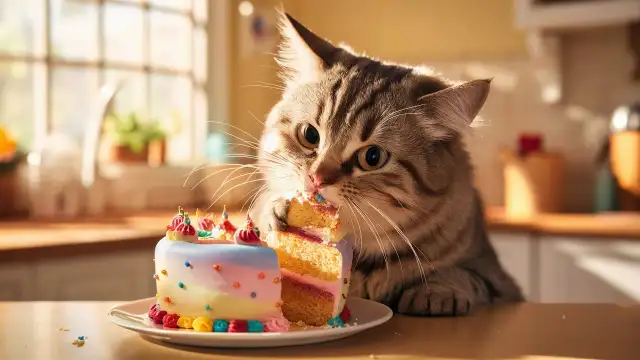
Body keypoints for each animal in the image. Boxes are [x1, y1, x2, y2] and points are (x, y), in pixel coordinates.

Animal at [252, 11, 524, 316]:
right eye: (310, 135)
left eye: (373, 157)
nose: (317, 178)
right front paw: (276, 209)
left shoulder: (498, 277)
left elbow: (464, 275)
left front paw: (438, 291)